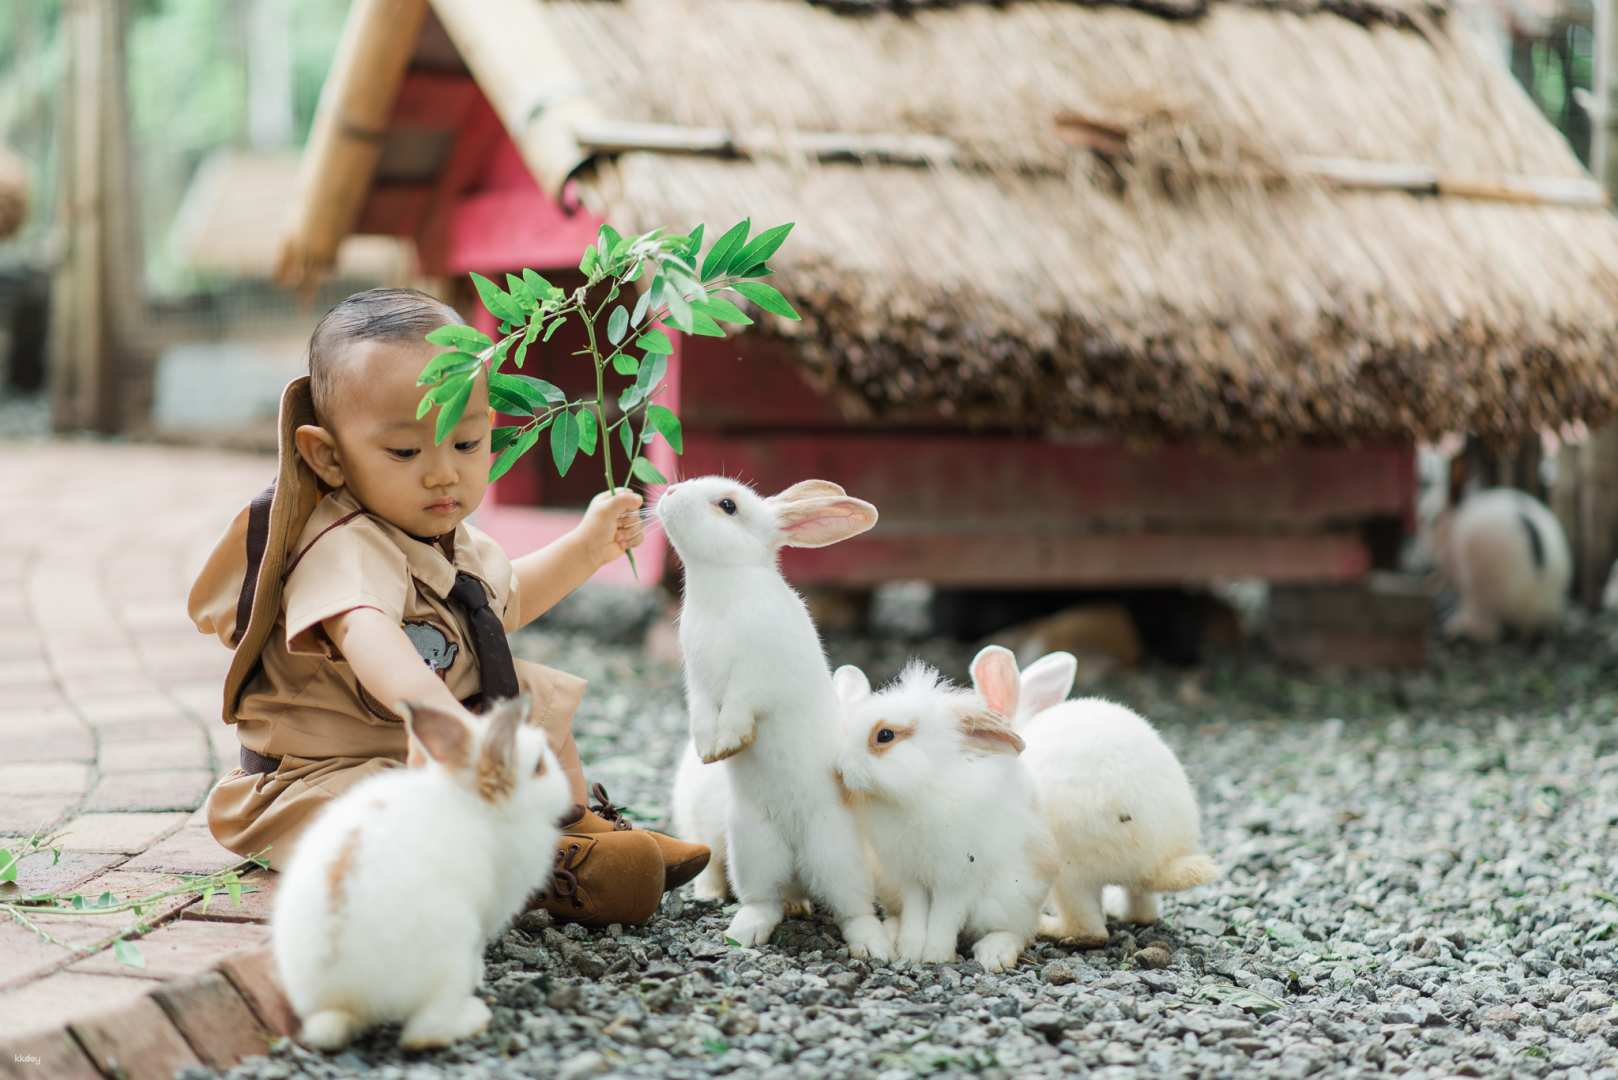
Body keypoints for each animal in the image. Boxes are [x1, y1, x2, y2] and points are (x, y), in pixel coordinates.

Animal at [278, 696, 576, 1049]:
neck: (476, 801)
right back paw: (473, 1016)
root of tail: (346, 998)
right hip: (451, 952)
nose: (567, 790)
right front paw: (480, 977)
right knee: (422, 1034)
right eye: (539, 767)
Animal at [650, 476, 893, 958]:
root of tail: (797, 858)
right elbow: (702, 713)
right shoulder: (698, 683)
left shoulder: (756, 675)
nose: (669, 494)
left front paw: (729, 743)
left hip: (837, 855)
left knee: (852, 910)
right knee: (766, 901)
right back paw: (744, 932)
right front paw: (709, 750)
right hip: (752, 851)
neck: (724, 587)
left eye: (728, 505)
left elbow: (740, 705)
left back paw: (871, 947)